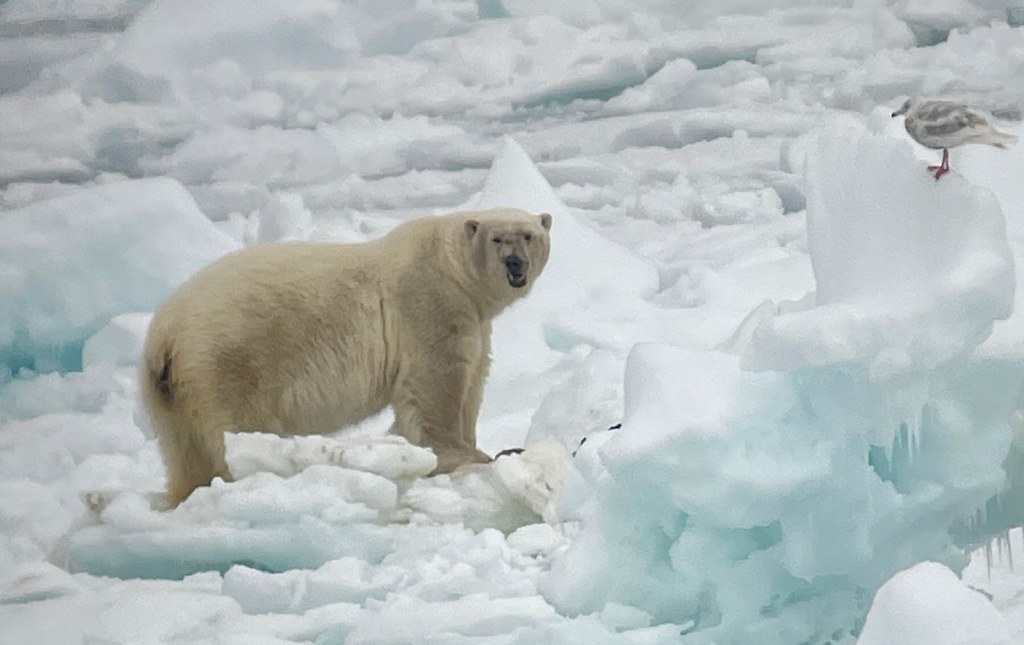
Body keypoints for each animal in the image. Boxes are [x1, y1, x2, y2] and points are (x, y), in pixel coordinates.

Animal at [139, 207, 552, 507]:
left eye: (529, 235)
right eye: (496, 237)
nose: (515, 263)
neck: (449, 266)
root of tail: (164, 336)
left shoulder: (473, 321)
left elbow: (474, 380)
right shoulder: (429, 303)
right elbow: (439, 384)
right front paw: (468, 456)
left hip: (171, 391)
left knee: (184, 450)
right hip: (229, 360)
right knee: (237, 425)